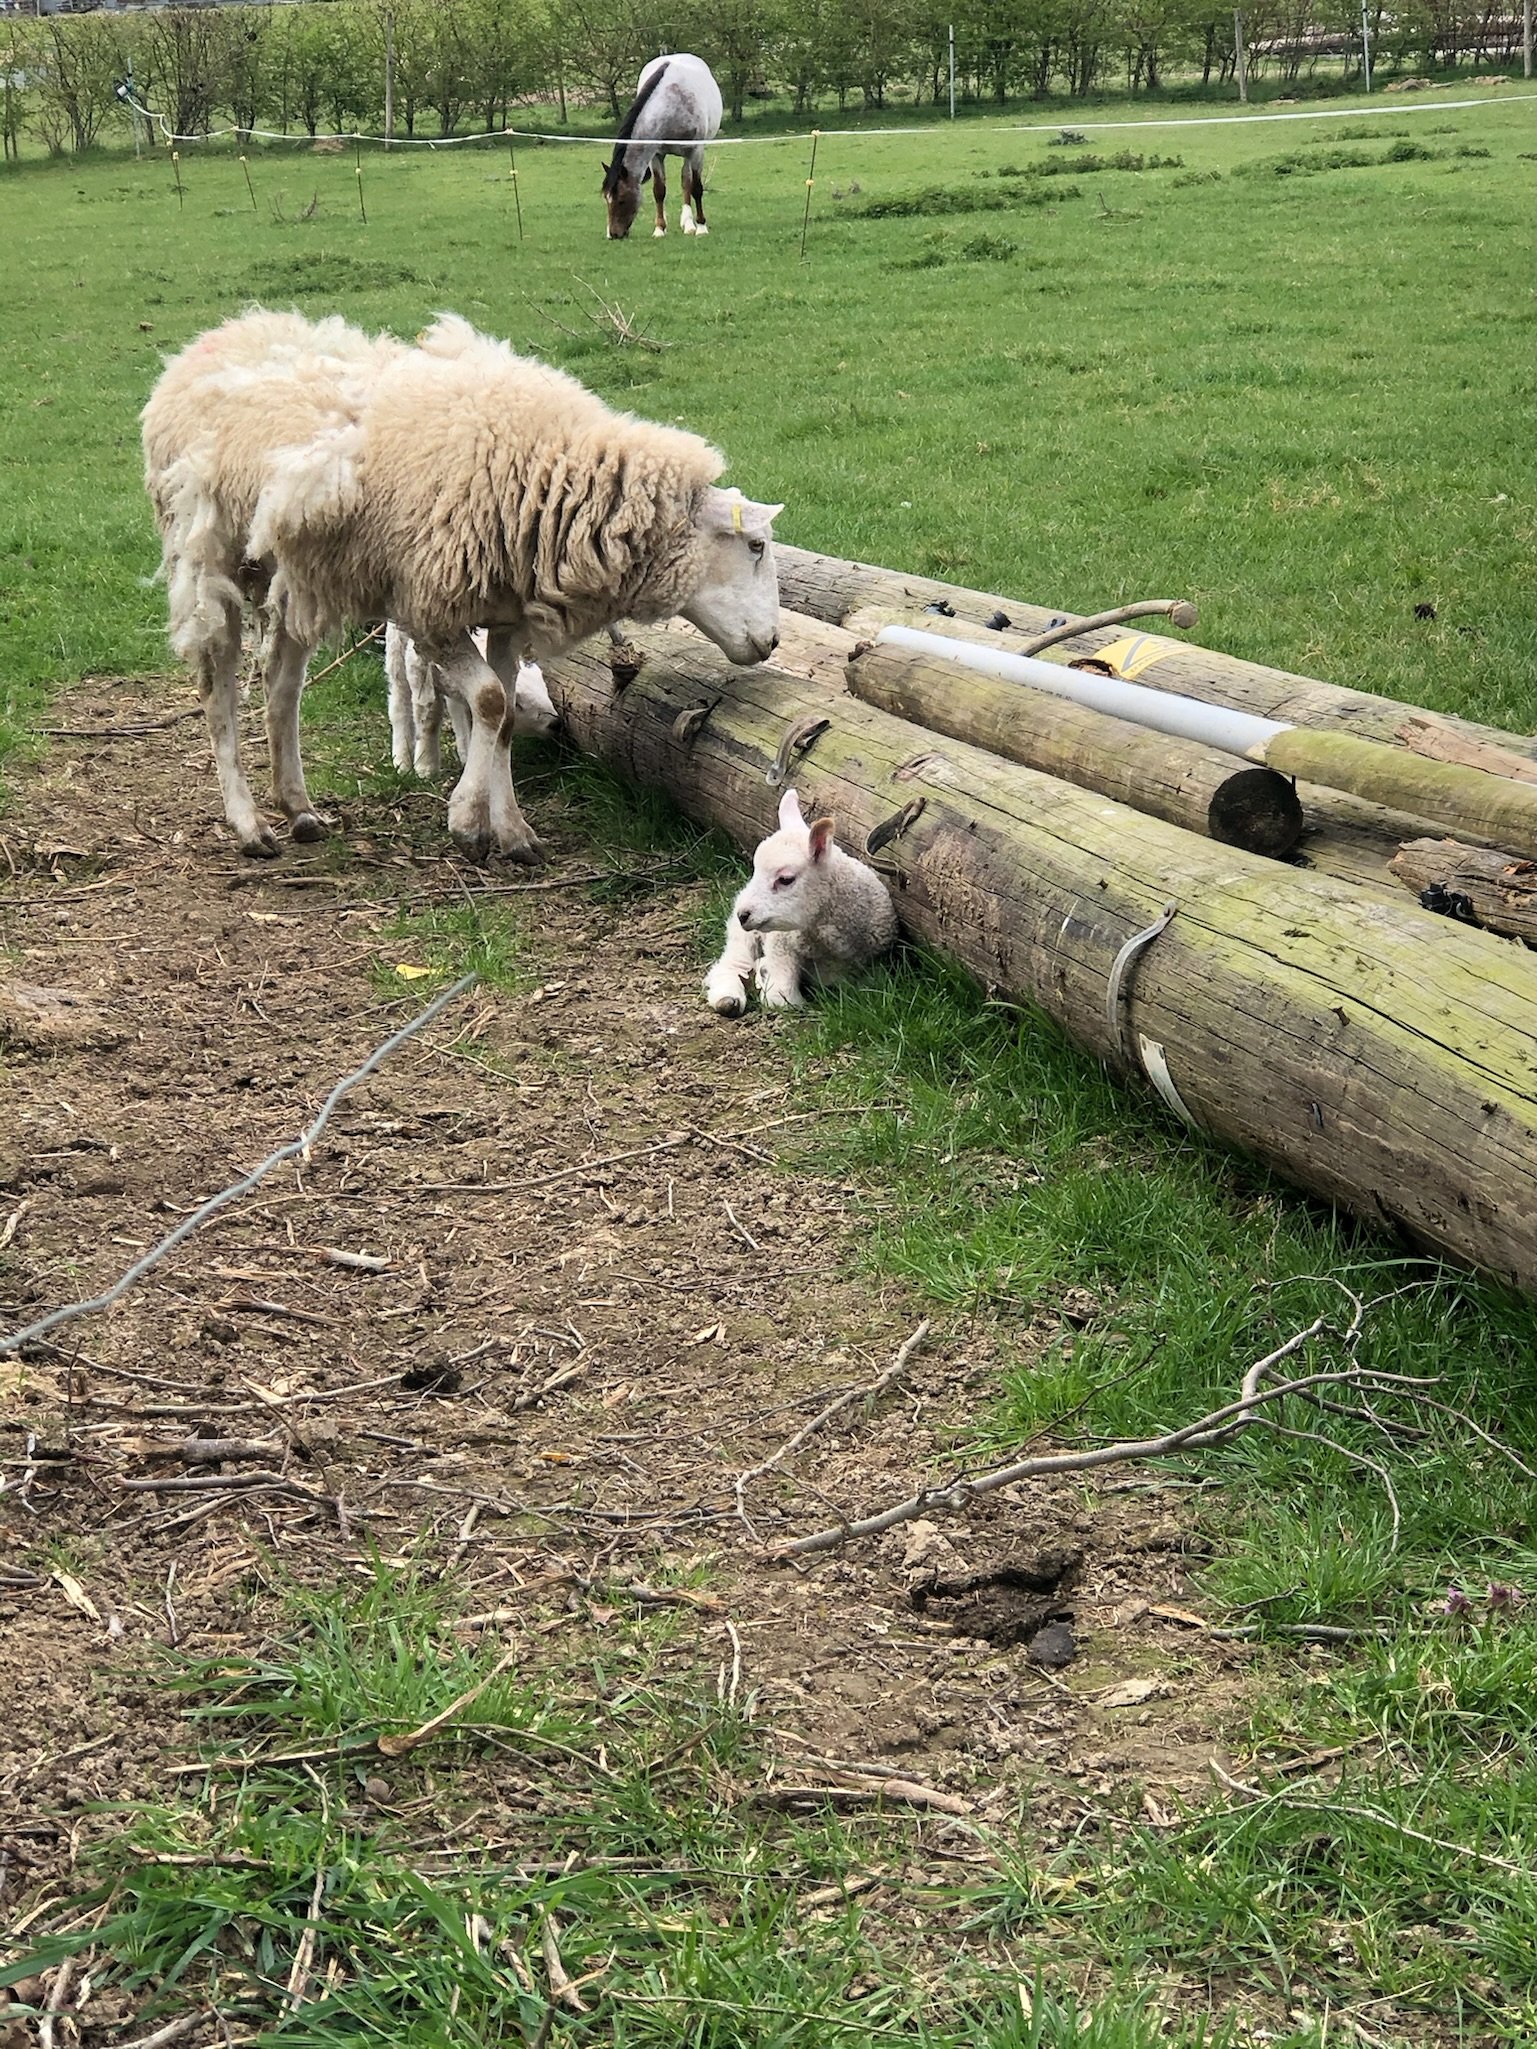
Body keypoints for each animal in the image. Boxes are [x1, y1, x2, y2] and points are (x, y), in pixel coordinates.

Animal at [385, 622, 557, 778]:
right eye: (518, 704)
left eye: (545, 688)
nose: (556, 723)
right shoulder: (419, 668)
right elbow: (429, 718)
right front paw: (426, 767)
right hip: (397, 646)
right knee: (399, 699)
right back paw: (401, 761)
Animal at [602, 54, 722, 240]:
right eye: (606, 198)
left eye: (621, 200)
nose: (613, 234)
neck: (672, 104)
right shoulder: (656, 155)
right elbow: (659, 191)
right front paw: (659, 228)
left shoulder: (696, 151)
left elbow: (696, 188)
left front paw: (701, 227)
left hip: (689, 155)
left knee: (686, 182)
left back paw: (689, 224)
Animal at [705, 789, 898, 1015]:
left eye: (785, 879)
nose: (743, 914)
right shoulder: (781, 942)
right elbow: (780, 999)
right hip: (744, 934)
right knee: (732, 962)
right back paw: (728, 999)